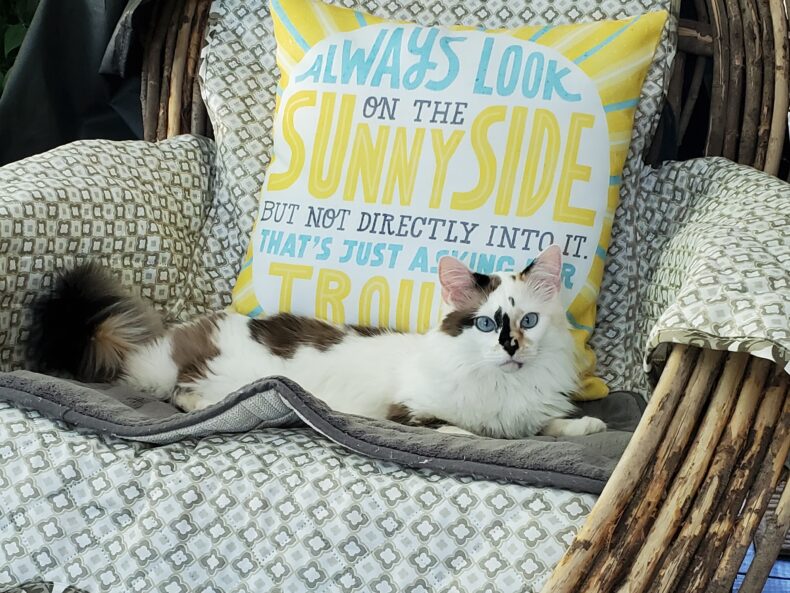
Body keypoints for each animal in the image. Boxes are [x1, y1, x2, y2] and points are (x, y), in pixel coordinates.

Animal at [26, 245, 606, 439]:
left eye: (528, 321)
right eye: (487, 324)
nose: (511, 348)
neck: (503, 385)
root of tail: (177, 336)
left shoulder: (528, 412)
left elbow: (544, 427)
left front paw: (585, 425)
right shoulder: (410, 412)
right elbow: (468, 432)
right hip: (210, 374)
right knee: (181, 391)